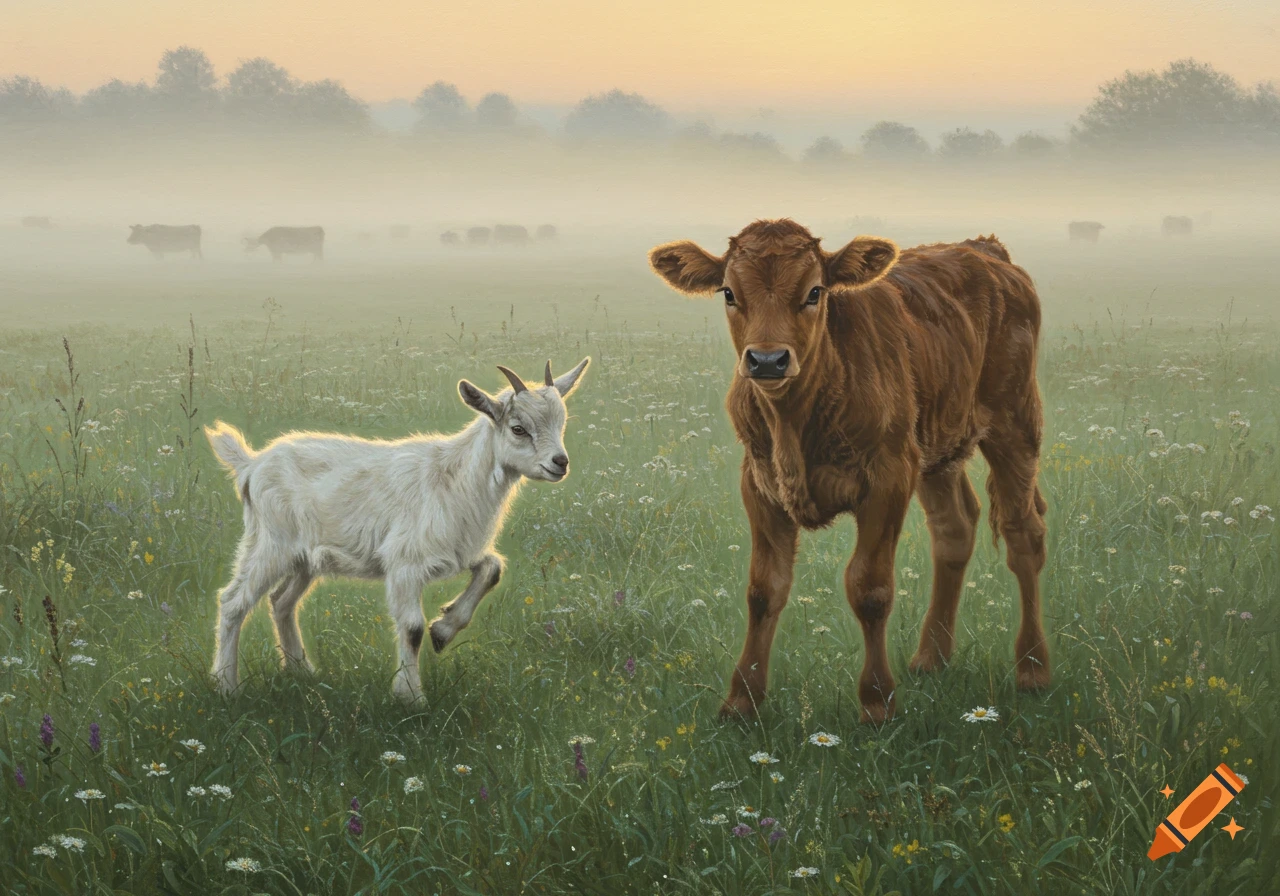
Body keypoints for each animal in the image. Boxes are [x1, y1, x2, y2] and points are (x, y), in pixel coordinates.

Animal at [204, 358, 590, 703]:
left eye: (561, 422)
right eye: (518, 428)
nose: (560, 463)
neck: (455, 478)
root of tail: (251, 465)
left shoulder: (458, 551)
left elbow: (492, 568)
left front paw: (444, 630)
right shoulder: (404, 563)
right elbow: (412, 628)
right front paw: (411, 697)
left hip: (303, 559)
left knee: (281, 602)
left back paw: (303, 672)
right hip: (270, 545)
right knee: (233, 602)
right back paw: (227, 687)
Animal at [649, 219, 1050, 724]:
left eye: (814, 291)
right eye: (728, 292)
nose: (767, 360)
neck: (795, 422)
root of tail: (984, 249)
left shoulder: (888, 479)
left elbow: (870, 589)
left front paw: (877, 702)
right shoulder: (759, 484)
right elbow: (763, 589)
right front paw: (741, 701)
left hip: (1015, 423)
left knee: (1023, 535)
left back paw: (1033, 669)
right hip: (937, 449)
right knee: (954, 529)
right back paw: (931, 658)